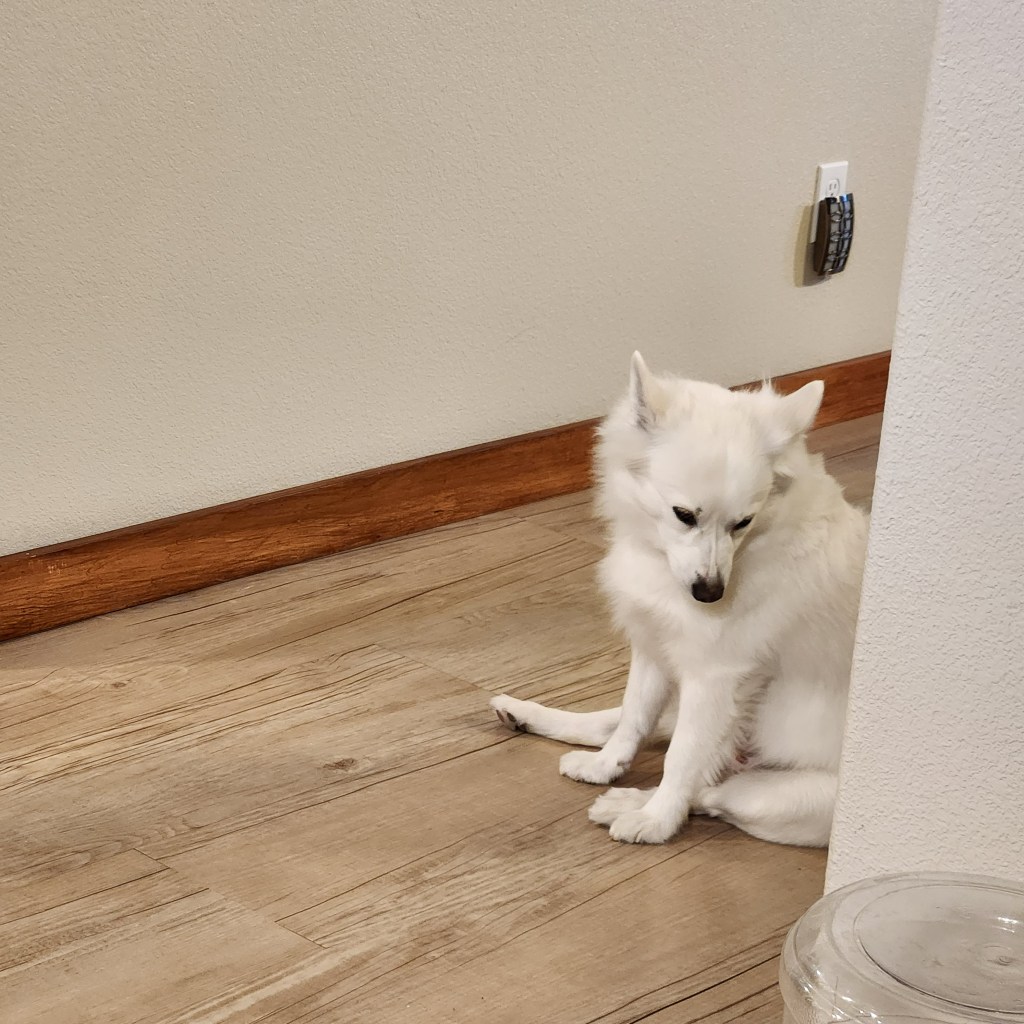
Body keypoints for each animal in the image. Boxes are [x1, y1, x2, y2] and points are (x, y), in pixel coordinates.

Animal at [490, 353, 867, 846]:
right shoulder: (654, 648)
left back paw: (631, 806)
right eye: (684, 515)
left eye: (743, 522)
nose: (710, 593)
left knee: (705, 792)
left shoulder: (712, 679)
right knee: (618, 723)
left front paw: (654, 822)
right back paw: (530, 719)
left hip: (773, 800)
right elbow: (633, 718)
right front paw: (607, 766)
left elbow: (681, 763)